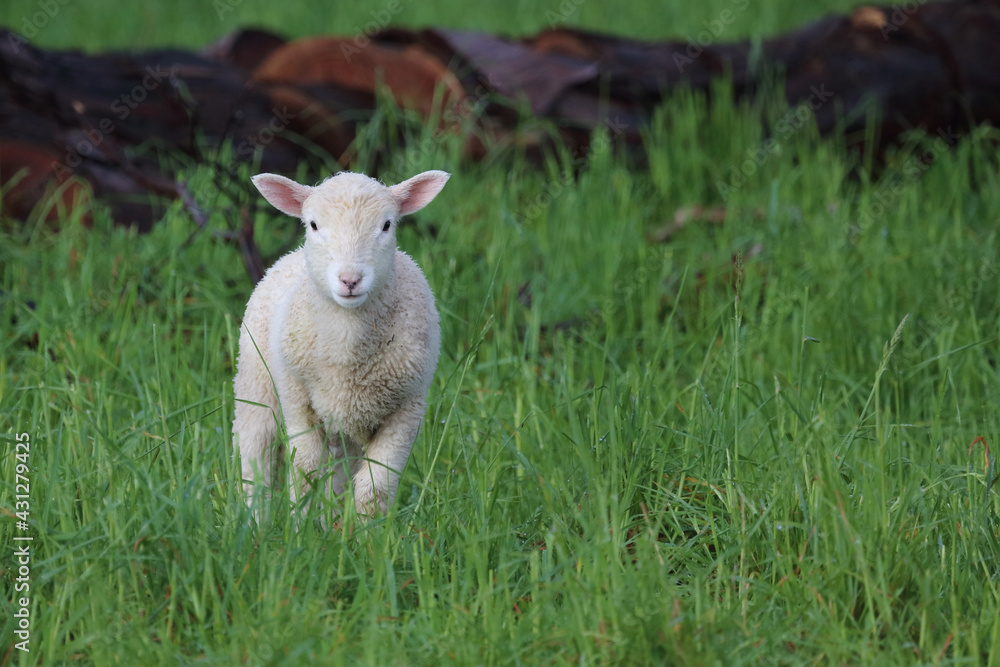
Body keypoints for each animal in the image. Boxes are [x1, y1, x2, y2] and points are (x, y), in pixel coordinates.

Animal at [232, 169, 448, 522]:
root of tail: (289, 257)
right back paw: (255, 523)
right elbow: (304, 471)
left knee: (338, 474)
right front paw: (300, 527)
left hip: (345, 426)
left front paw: (370, 533)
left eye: (387, 225)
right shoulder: (298, 402)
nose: (350, 280)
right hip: (256, 384)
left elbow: (374, 487)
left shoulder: (407, 409)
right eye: (313, 225)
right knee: (255, 456)